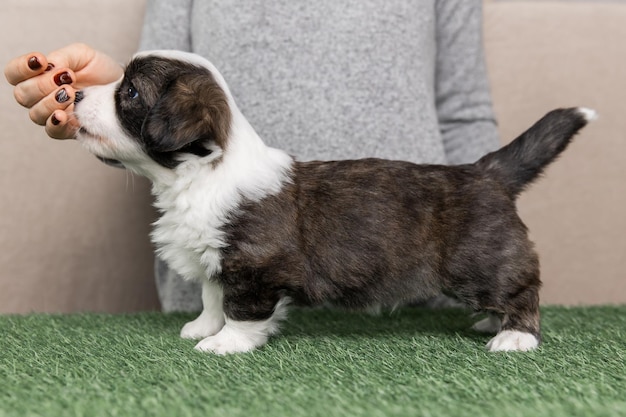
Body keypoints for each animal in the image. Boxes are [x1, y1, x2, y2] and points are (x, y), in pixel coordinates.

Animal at [73, 50, 588, 352]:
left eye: (130, 91)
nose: (73, 93)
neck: (199, 175)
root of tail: (486, 171)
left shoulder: (252, 266)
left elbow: (241, 309)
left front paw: (225, 344)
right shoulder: (217, 259)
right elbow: (212, 295)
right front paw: (203, 327)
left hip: (479, 261)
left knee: (522, 290)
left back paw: (514, 336)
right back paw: (491, 323)